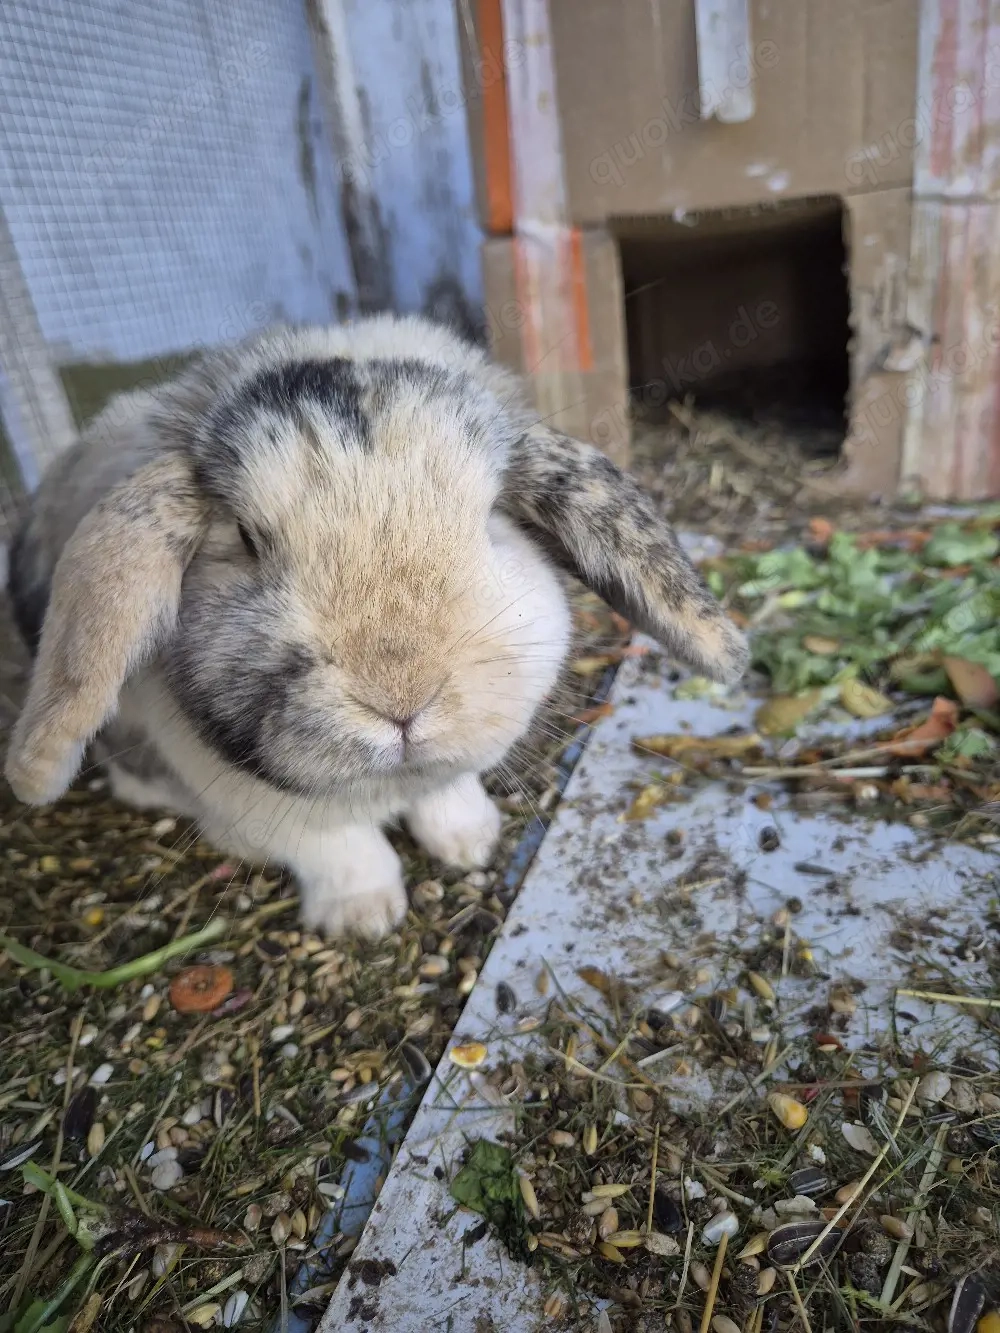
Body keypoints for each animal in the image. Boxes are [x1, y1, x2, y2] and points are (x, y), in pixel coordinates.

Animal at [4, 314, 748, 939]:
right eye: (245, 539)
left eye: (490, 520)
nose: (401, 700)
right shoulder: (277, 812)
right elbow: (342, 852)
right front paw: (364, 919)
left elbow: (447, 794)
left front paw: (472, 843)